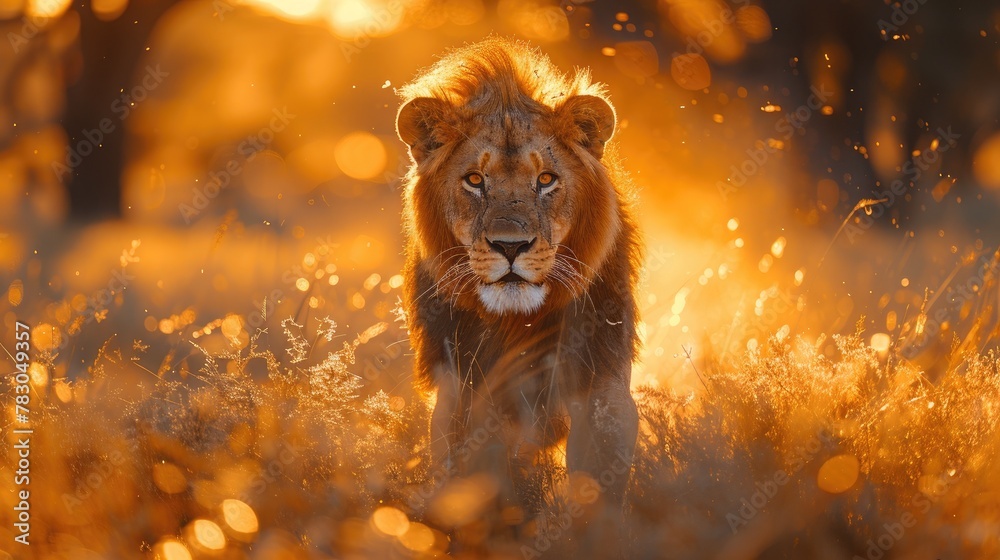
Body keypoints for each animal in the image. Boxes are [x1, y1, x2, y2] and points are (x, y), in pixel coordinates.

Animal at [396, 37, 642, 536]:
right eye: (474, 180)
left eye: (545, 179)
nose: (511, 246)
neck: (517, 322)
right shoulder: (462, 390)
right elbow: (475, 475)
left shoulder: (601, 382)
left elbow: (597, 480)